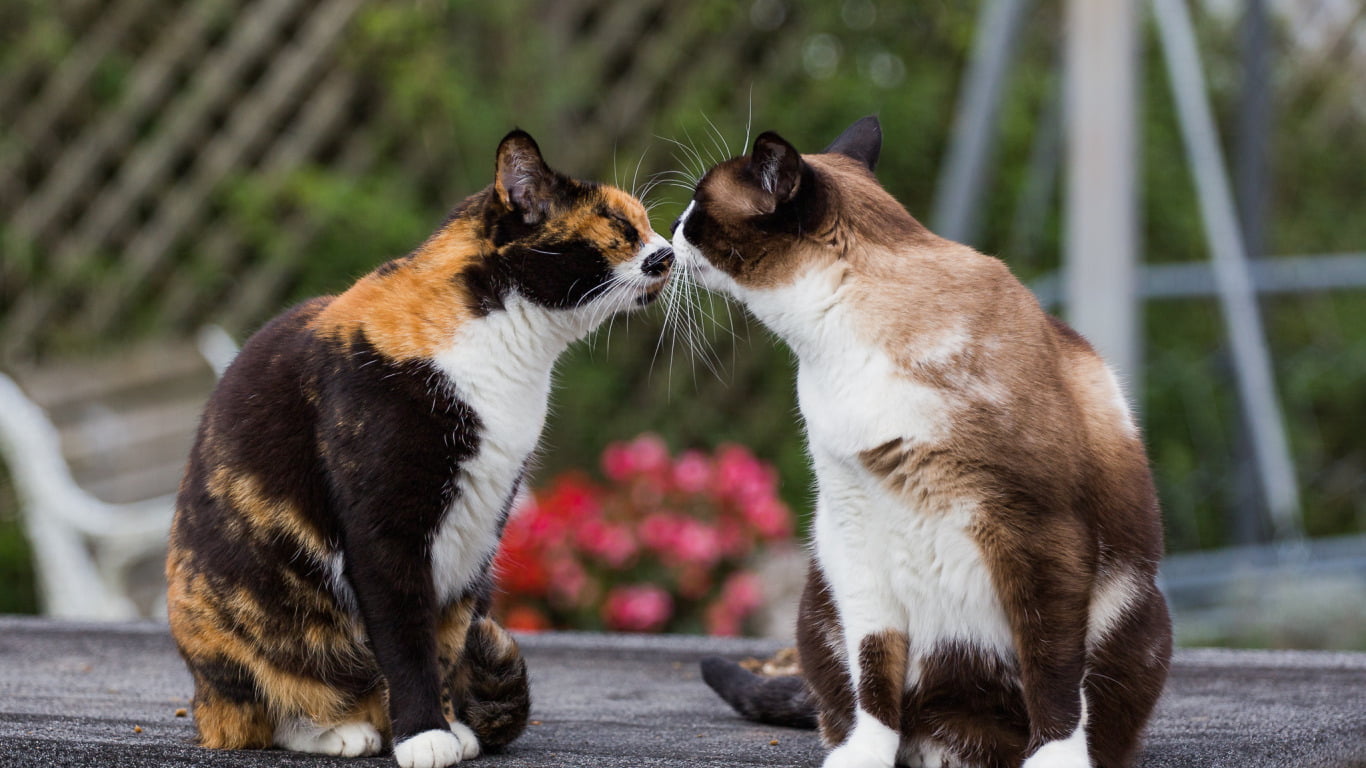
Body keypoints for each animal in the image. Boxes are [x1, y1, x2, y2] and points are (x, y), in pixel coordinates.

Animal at [165, 128, 672, 759]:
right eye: (619, 225)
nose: (668, 253)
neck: (506, 345)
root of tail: (200, 699)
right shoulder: (385, 530)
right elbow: (407, 636)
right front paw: (425, 735)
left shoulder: (478, 527)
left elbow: (446, 638)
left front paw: (450, 725)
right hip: (242, 630)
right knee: (263, 710)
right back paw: (343, 730)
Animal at [677, 114, 1169, 765]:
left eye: (698, 204)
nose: (670, 229)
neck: (840, 338)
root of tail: (957, 736)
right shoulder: (854, 522)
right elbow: (874, 673)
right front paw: (864, 755)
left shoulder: (1038, 529)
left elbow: (1053, 672)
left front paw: (1054, 760)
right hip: (824, 589)